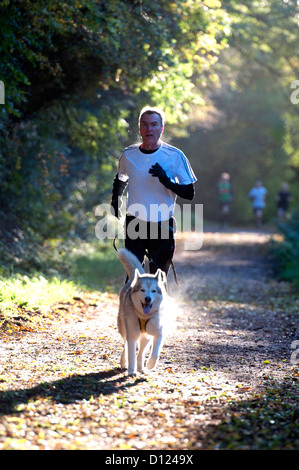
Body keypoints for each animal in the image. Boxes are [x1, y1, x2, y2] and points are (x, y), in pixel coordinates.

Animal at [118, 248, 178, 376]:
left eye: (154, 291)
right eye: (142, 290)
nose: (148, 299)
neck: (144, 316)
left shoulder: (158, 333)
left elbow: (155, 353)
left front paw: (150, 365)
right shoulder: (132, 334)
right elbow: (131, 354)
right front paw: (131, 371)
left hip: (146, 337)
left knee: (141, 352)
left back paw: (141, 368)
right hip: (125, 329)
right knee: (127, 346)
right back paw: (124, 362)